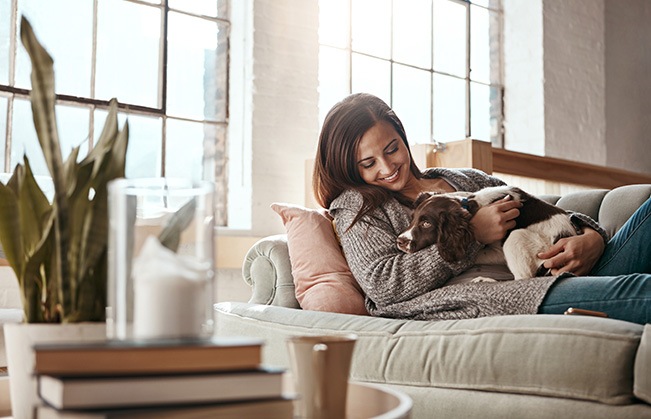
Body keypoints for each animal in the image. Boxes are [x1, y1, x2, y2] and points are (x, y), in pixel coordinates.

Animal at [400, 186, 580, 278]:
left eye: (426, 224)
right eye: (412, 218)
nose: (400, 241)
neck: (472, 205)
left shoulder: (499, 251)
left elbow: (475, 255)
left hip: (517, 238)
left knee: (523, 278)